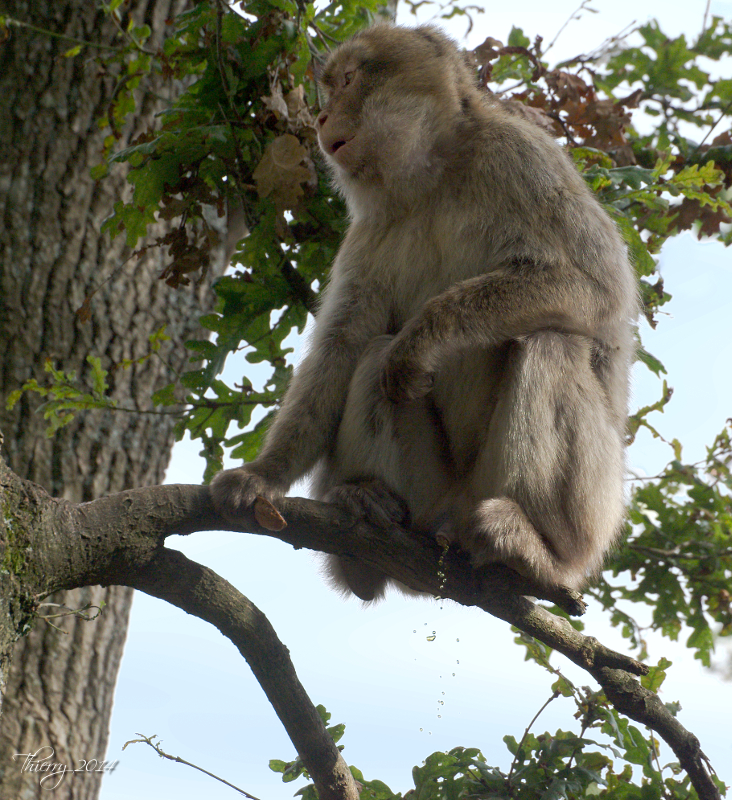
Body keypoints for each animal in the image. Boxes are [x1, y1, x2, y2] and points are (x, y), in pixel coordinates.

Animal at [209, 21, 636, 600]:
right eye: (327, 89)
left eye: (347, 81)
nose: (319, 118)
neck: (432, 178)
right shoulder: (369, 230)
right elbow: (342, 346)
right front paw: (265, 473)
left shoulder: (520, 157)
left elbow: (596, 286)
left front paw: (427, 335)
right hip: (432, 496)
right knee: (375, 355)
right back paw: (368, 511)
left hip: (589, 510)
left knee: (552, 343)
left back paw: (536, 551)